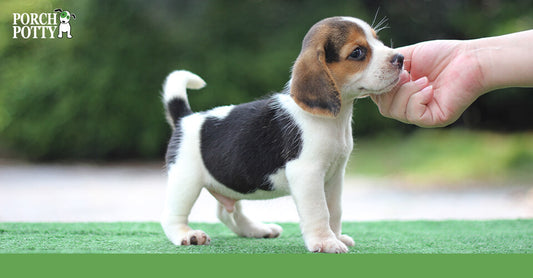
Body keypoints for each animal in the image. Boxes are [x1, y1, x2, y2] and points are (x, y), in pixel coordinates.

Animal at [160, 16, 402, 253]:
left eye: (377, 40)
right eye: (357, 52)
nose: (400, 58)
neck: (334, 119)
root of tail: (184, 117)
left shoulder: (334, 176)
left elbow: (334, 210)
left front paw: (337, 236)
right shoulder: (307, 174)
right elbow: (320, 211)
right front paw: (325, 242)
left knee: (227, 213)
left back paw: (256, 230)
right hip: (186, 180)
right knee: (172, 216)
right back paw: (187, 235)